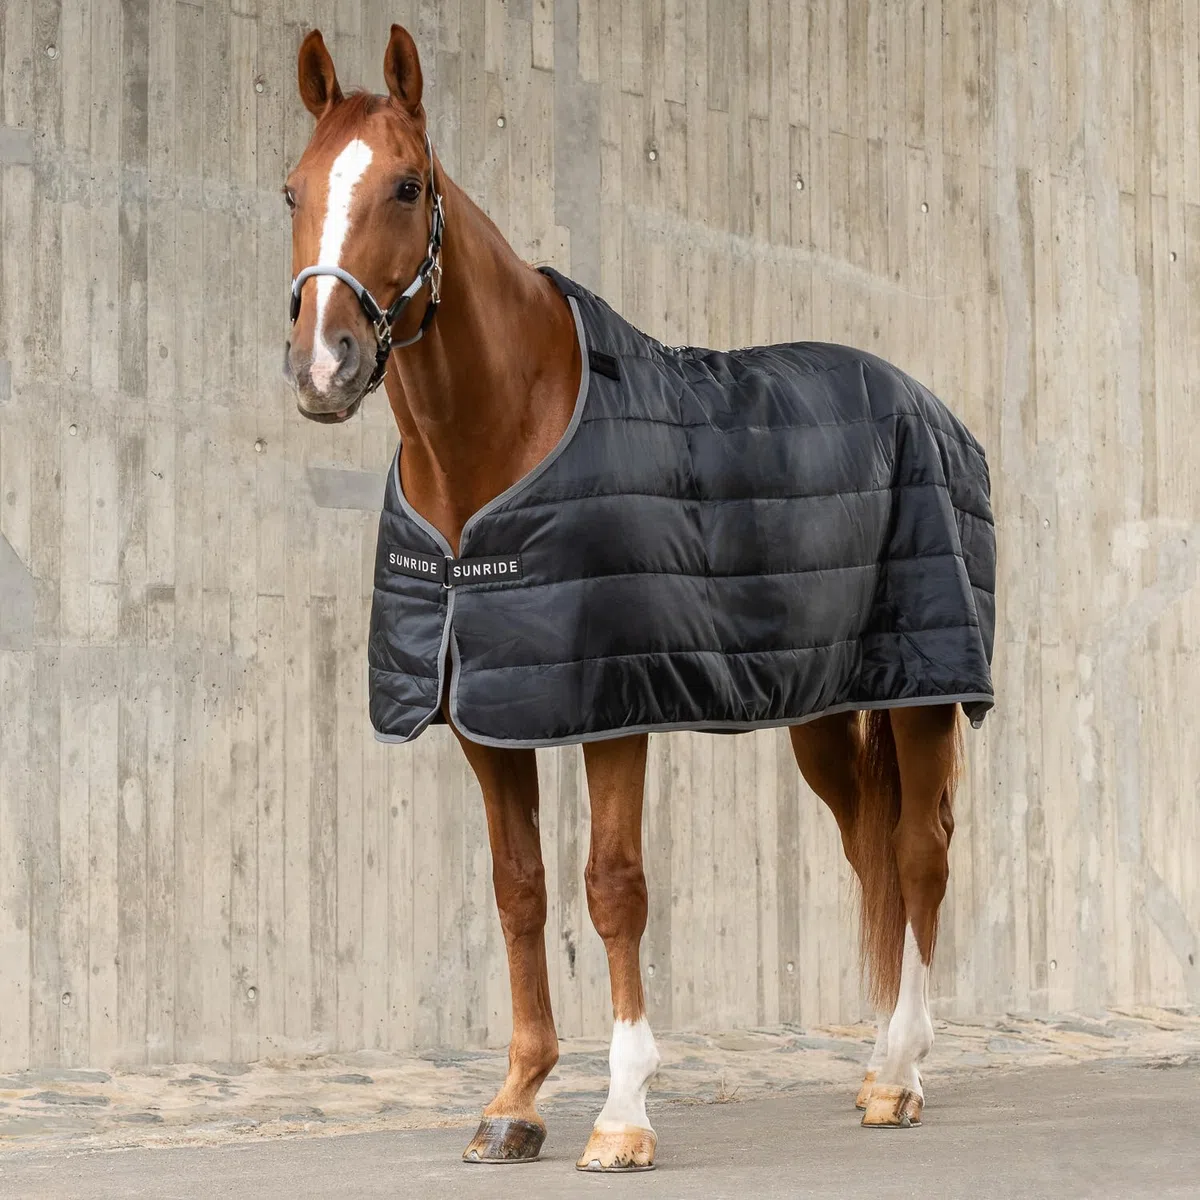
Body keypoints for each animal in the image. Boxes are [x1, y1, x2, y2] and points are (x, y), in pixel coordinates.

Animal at [283, 24, 992, 1171]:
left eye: (405, 185)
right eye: (291, 189)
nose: (322, 364)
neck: (500, 447)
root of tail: (930, 407)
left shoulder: (617, 705)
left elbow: (612, 889)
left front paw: (622, 1114)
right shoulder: (487, 713)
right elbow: (519, 890)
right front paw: (515, 1102)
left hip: (926, 691)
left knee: (921, 858)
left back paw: (900, 1076)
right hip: (825, 712)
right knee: (870, 853)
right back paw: (877, 1066)